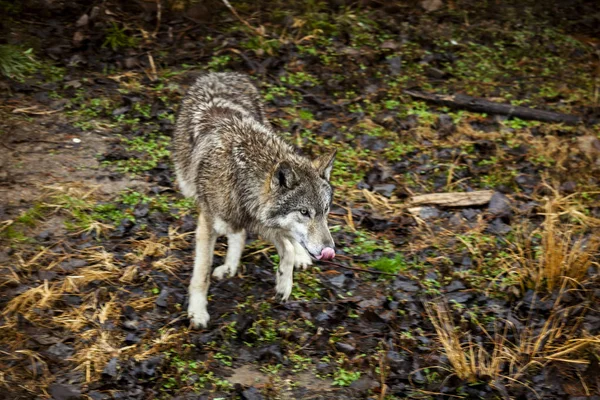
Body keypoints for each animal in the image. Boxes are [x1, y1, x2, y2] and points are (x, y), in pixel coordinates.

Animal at [172, 72, 338, 328]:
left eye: (326, 210)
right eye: (304, 212)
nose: (329, 250)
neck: (239, 175)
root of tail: (221, 73)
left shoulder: (259, 220)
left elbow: (287, 249)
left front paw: (284, 285)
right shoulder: (209, 225)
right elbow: (202, 273)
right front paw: (197, 312)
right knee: (241, 234)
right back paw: (231, 267)